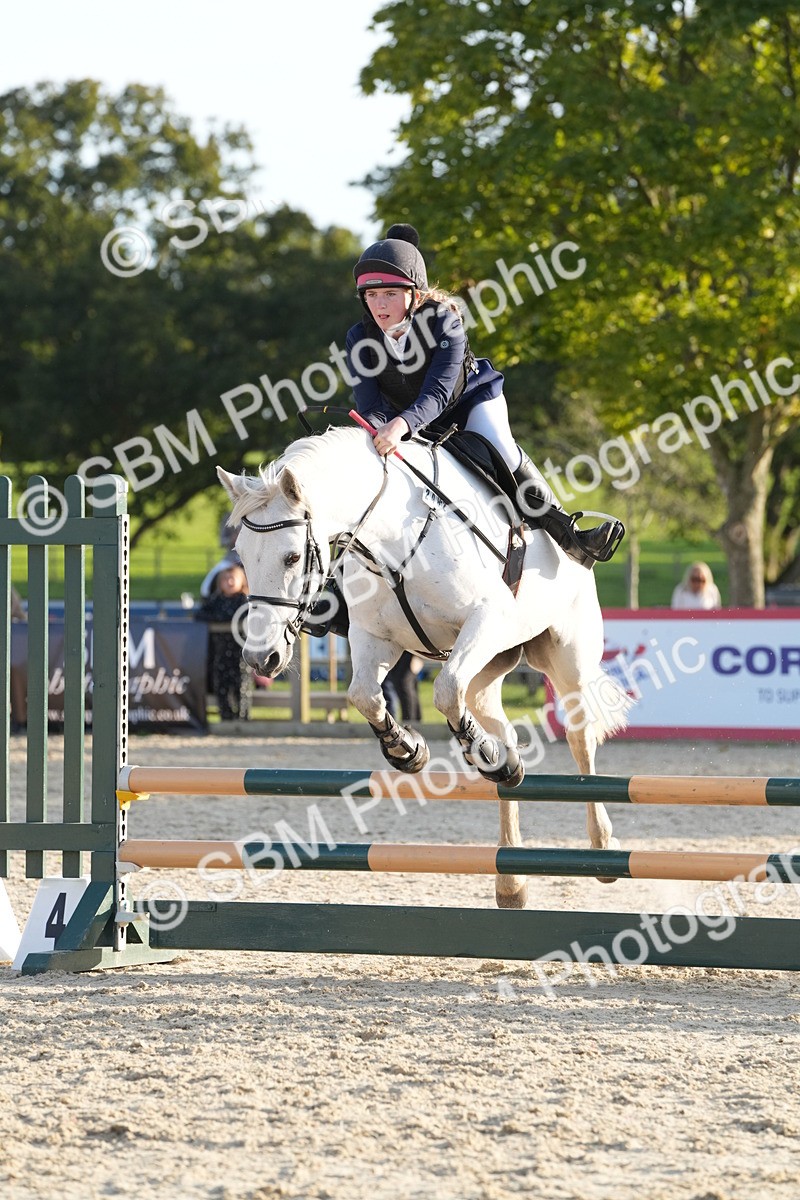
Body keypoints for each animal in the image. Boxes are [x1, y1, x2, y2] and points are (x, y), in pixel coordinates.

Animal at [218, 426, 632, 909]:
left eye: (291, 558)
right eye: (241, 553)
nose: (260, 658)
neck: (392, 538)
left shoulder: (486, 618)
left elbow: (444, 689)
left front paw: (477, 752)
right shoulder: (373, 636)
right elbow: (364, 695)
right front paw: (408, 750)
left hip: (566, 658)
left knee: (580, 736)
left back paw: (600, 847)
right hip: (488, 668)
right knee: (503, 730)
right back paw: (510, 865)